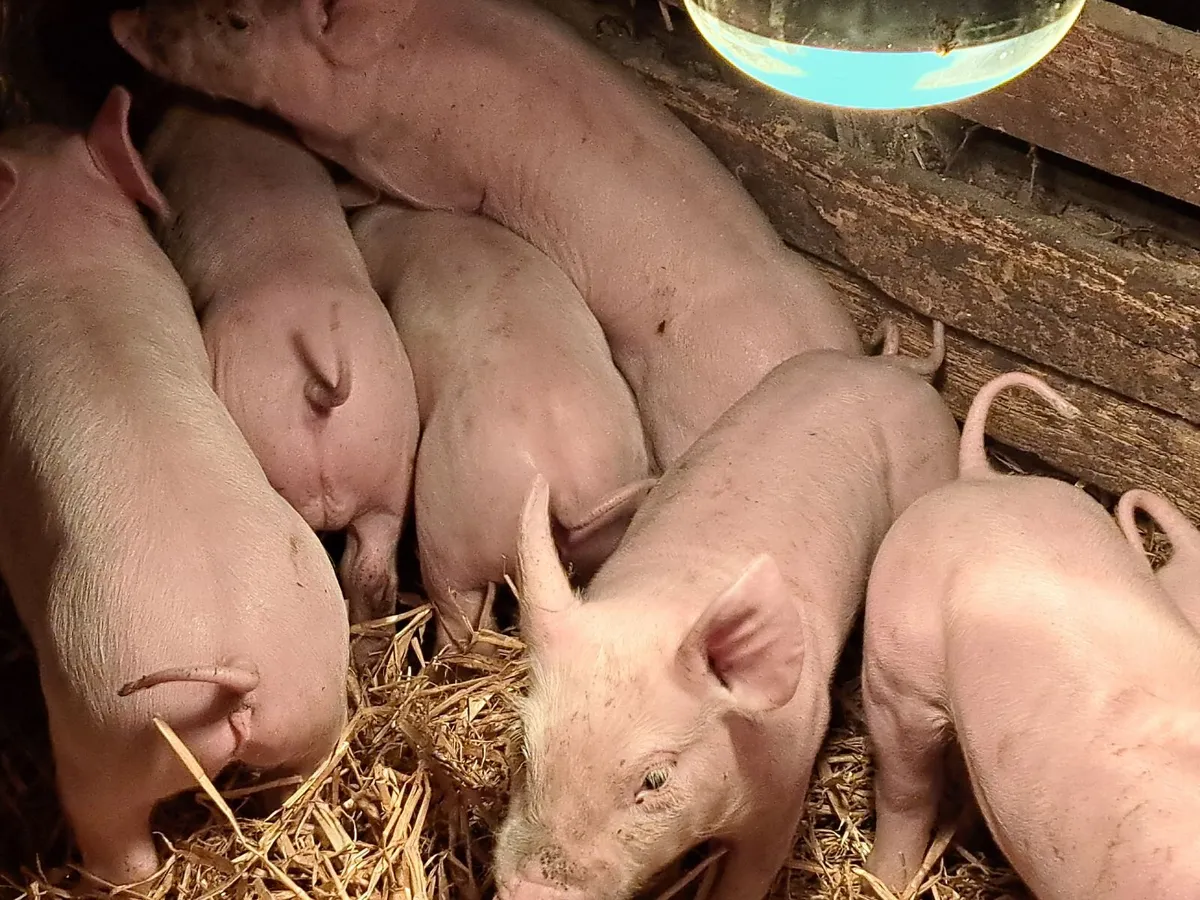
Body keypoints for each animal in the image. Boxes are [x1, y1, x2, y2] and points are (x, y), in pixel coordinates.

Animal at [0, 86, 350, 886]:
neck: (61, 236)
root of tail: (238, 666)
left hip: (103, 729)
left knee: (120, 846)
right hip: (315, 693)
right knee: (301, 781)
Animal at [492, 329, 959, 900]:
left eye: (655, 779)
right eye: (525, 750)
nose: (529, 887)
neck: (661, 597)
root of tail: (895, 369)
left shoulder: (786, 783)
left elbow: (749, 874)